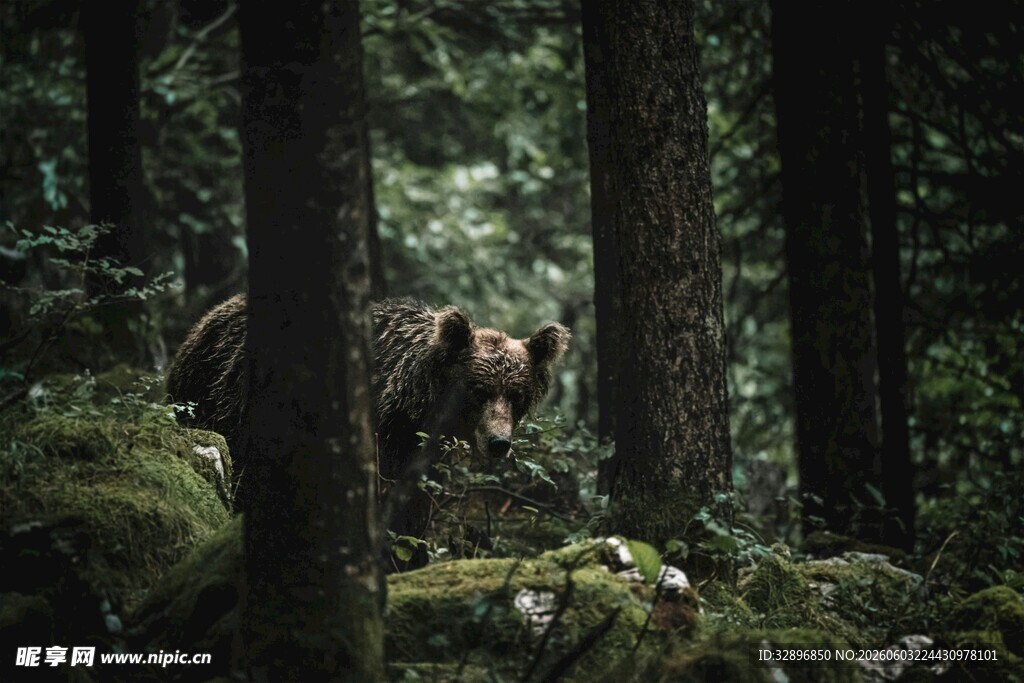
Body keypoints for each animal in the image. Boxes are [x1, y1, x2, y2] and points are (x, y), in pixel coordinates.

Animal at [166, 294, 570, 567]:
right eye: (479, 389)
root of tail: (205, 319)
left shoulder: (419, 455)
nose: (499, 442)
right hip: (216, 402)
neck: (412, 403)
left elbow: (413, 512)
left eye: (516, 394)